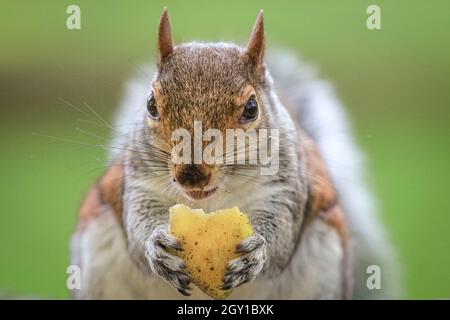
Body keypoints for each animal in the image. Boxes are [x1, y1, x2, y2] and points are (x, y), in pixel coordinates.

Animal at [70, 9, 400, 300]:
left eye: (251, 108)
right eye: (151, 104)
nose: (191, 174)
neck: (210, 201)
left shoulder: (286, 188)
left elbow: (281, 234)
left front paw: (258, 252)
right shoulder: (139, 184)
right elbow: (137, 224)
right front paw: (156, 246)